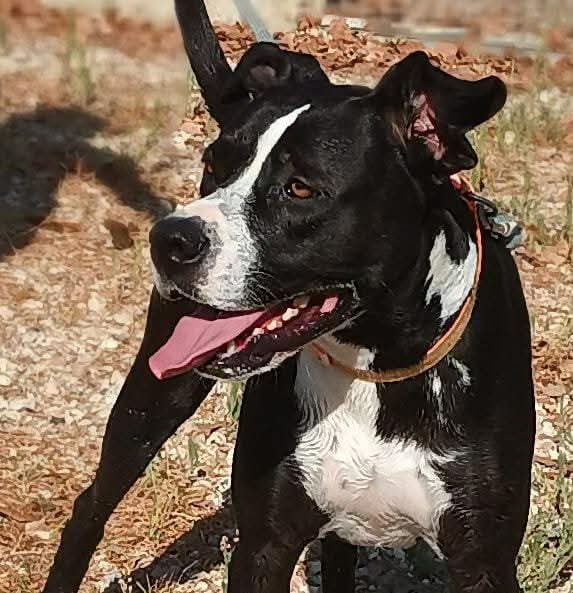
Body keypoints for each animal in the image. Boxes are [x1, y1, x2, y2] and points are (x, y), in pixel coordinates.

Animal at [42, 1, 535, 592]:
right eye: (214, 167)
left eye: (300, 188)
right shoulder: (264, 545)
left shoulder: (483, 560)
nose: (169, 239)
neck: (373, 364)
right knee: (90, 506)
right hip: (156, 394)